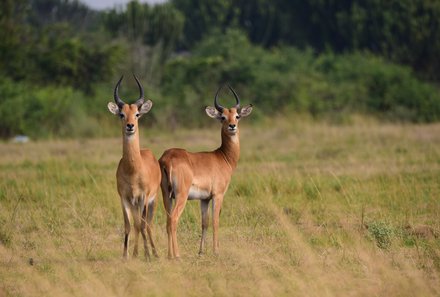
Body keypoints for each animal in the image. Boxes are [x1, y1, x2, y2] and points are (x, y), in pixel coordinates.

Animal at [107, 74, 161, 260]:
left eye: (137, 114)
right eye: (122, 114)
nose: (130, 126)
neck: (133, 170)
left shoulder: (143, 197)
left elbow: (143, 225)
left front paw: (148, 255)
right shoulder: (124, 198)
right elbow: (129, 225)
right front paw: (126, 255)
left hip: (151, 201)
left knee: (148, 224)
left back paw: (154, 252)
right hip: (135, 204)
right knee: (138, 224)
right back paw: (138, 252)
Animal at [160, 84, 253, 258]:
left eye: (237, 116)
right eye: (223, 117)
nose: (232, 126)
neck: (223, 157)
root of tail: (167, 158)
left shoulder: (204, 199)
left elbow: (204, 223)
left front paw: (201, 251)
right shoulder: (218, 195)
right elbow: (216, 221)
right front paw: (216, 251)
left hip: (166, 196)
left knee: (168, 220)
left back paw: (169, 255)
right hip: (181, 196)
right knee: (174, 220)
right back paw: (177, 255)